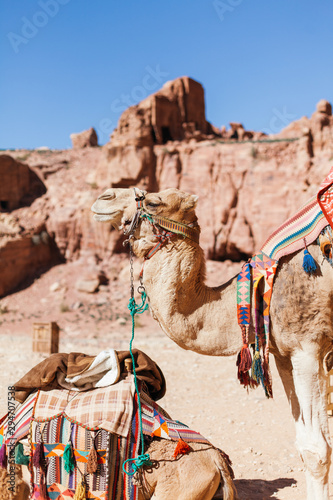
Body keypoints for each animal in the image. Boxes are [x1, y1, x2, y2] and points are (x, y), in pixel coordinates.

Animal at [91, 184, 333, 500]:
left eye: (153, 202)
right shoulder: (284, 354)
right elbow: (306, 441)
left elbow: (316, 449)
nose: (104, 197)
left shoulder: (309, 345)